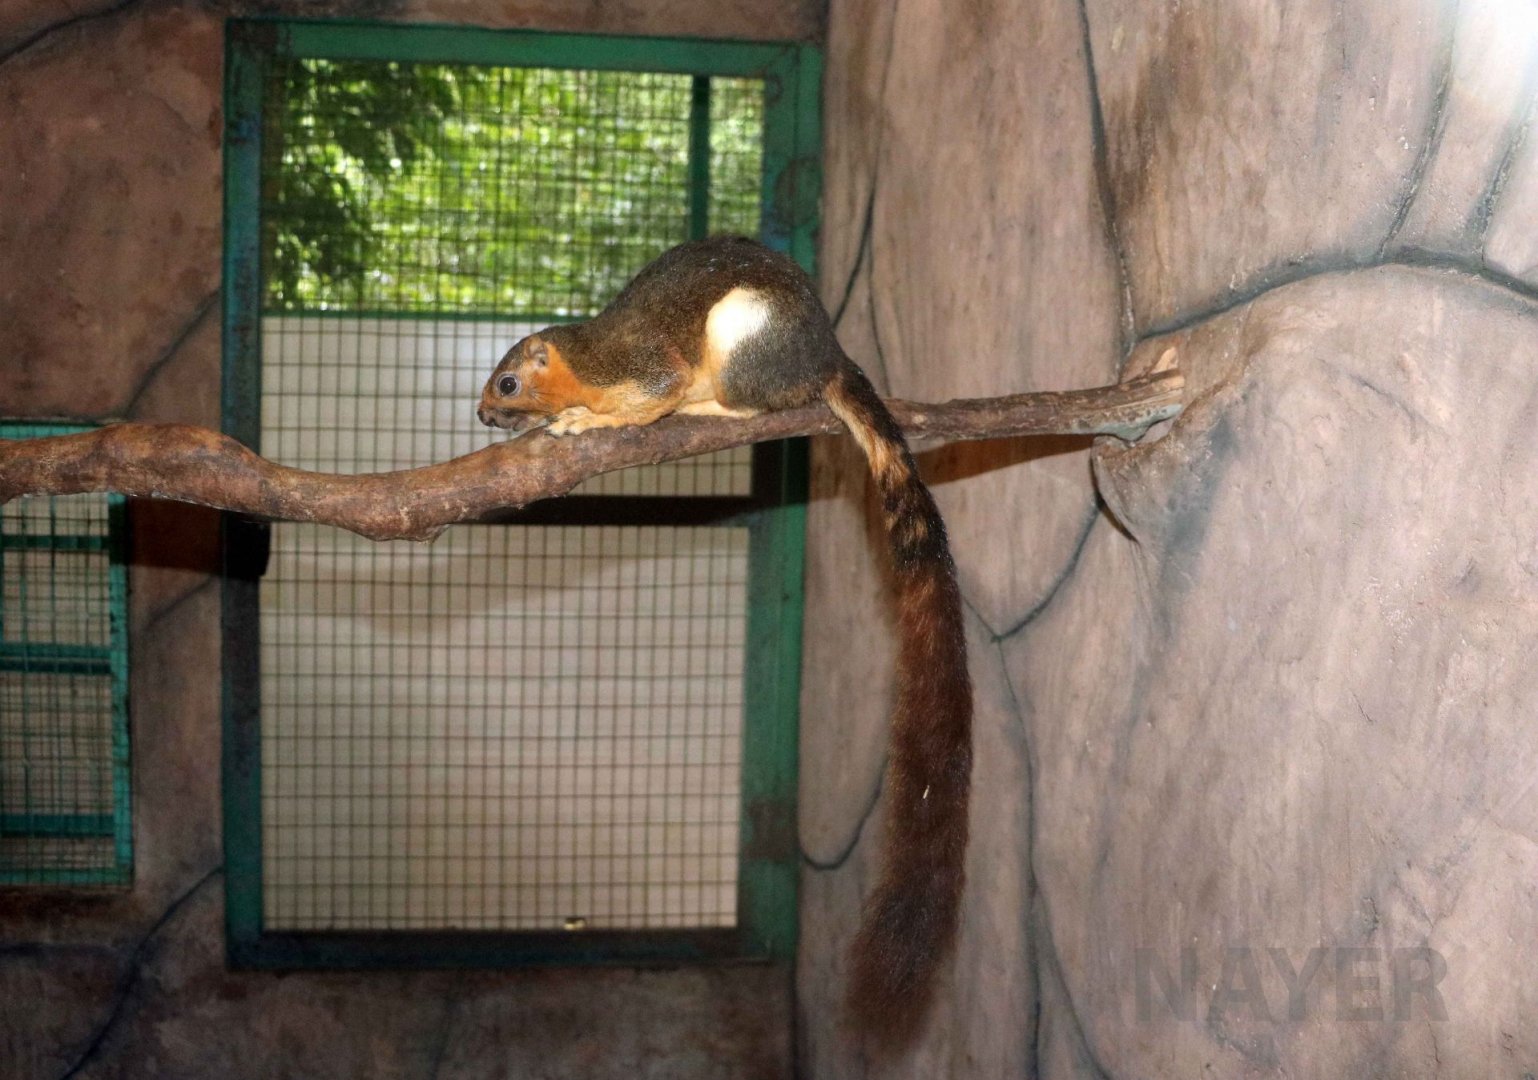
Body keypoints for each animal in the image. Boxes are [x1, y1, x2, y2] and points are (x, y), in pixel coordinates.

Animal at [478, 235, 972, 1044]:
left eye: (509, 380)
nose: (483, 413)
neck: (588, 358)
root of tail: (825, 354)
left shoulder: (642, 365)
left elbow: (652, 395)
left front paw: (585, 424)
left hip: (745, 335)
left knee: (757, 399)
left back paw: (711, 403)